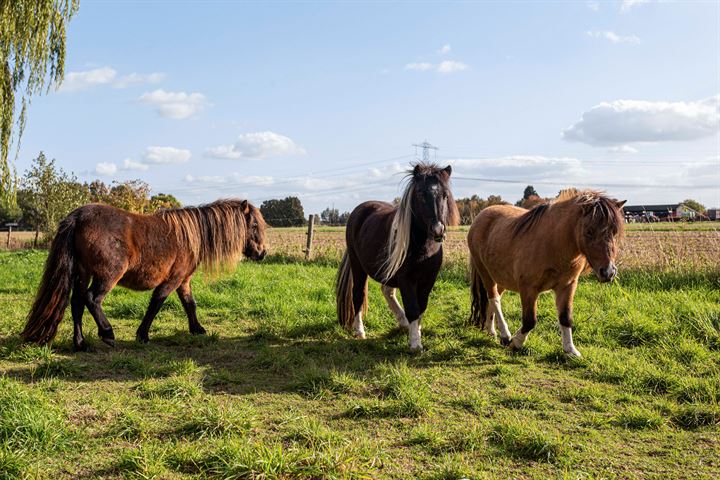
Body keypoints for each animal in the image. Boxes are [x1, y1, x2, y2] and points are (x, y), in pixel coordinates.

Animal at [21, 200, 268, 352]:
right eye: (254, 225)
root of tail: (78, 216)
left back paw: (81, 344)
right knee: (92, 299)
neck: (190, 236)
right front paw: (142, 335)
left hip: (83, 273)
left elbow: (190, 304)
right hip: (107, 275)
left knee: (77, 304)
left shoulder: (183, 281)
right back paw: (107, 333)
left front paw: (197, 330)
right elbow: (156, 304)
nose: (262, 253)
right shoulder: (172, 280)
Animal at [334, 163, 458, 350]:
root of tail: (359, 211)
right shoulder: (406, 279)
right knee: (358, 294)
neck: (423, 246)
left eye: (445, 195)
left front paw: (416, 332)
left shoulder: (428, 280)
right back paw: (360, 331)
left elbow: (421, 308)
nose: (438, 230)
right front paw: (415, 344)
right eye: (421, 194)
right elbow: (413, 308)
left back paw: (403, 322)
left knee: (387, 290)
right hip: (358, 266)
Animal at [466, 188, 624, 356]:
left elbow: (566, 317)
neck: (554, 243)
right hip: (485, 273)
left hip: (501, 277)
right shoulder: (528, 288)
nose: (608, 272)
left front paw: (570, 350)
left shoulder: (567, 286)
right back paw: (505, 334)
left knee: (493, 299)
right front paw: (516, 343)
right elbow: (530, 321)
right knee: (494, 298)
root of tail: (481, 215)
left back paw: (491, 330)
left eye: (614, 232)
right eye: (589, 231)